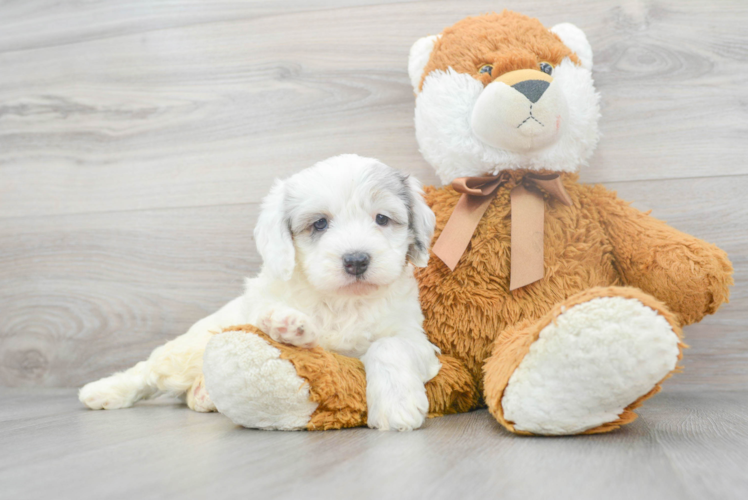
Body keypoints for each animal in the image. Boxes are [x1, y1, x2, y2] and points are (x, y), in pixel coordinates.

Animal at [80, 154, 444, 432]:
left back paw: (203, 395)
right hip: (190, 349)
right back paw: (103, 390)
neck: (343, 301)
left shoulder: (417, 340)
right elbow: (271, 317)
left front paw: (395, 405)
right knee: (149, 371)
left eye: (382, 218)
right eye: (320, 224)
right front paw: (286, 323)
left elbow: (389, 346)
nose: (356, 260)